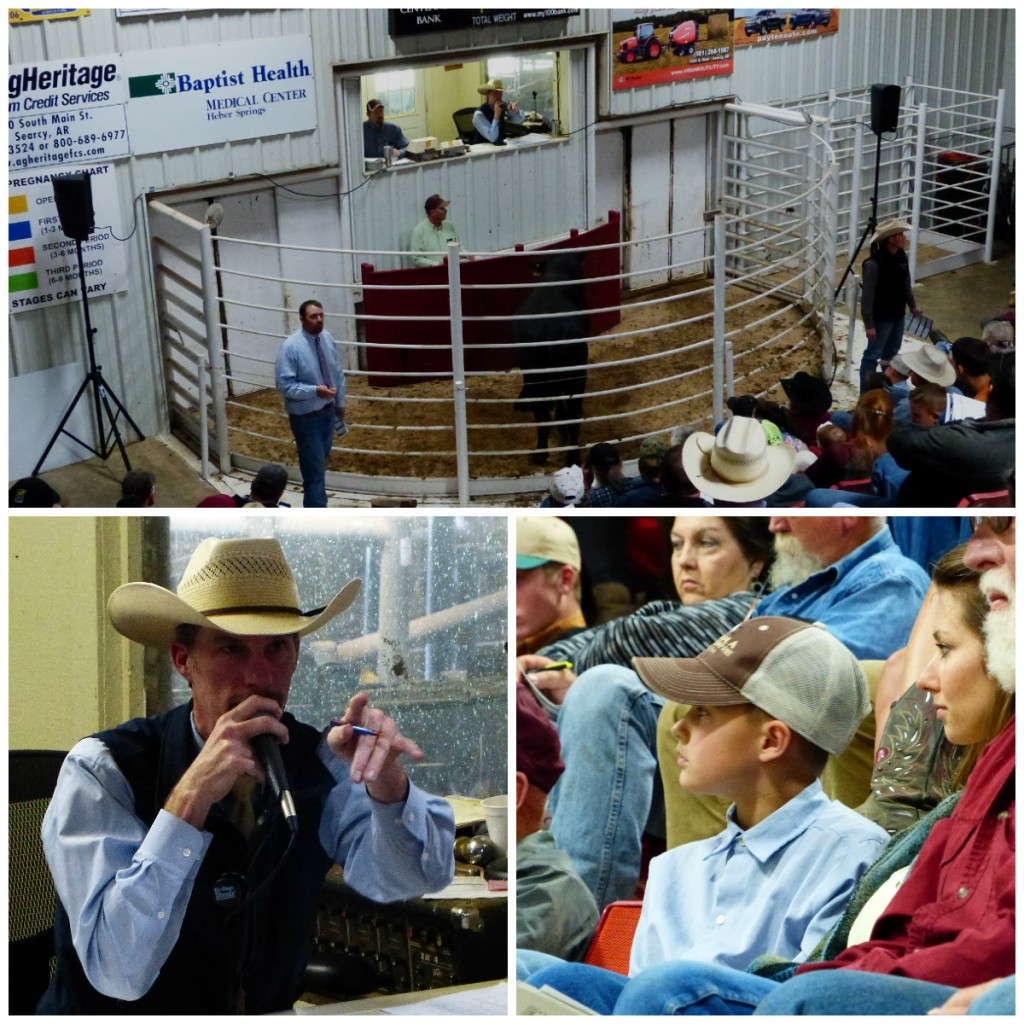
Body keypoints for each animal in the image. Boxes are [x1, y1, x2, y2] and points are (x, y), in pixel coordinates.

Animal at [516, 253, 589, 466]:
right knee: (571, 414)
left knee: (544, 416)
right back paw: (571, 456)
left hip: (541, 379)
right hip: (576, 377)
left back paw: (542, 453)